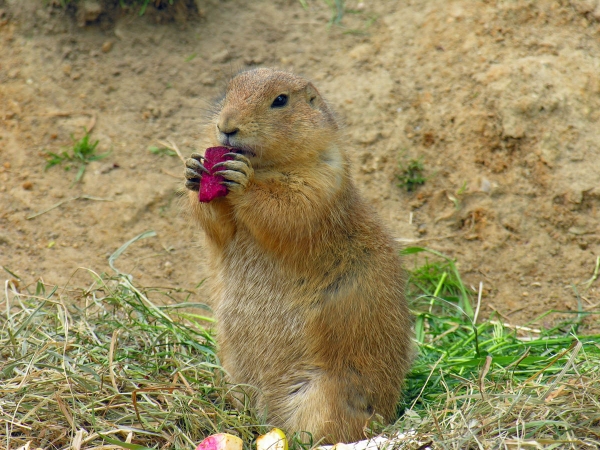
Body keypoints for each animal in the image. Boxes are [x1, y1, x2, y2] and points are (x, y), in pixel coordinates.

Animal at [185, 67, 414, 442]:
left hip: (324, 398)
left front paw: (242, 180)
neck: (266, 166)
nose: (227, 125)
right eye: (228, 90)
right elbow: (217, 224)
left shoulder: (323, 177)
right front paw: (193, 169)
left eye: (280, 100)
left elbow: (290, 208)